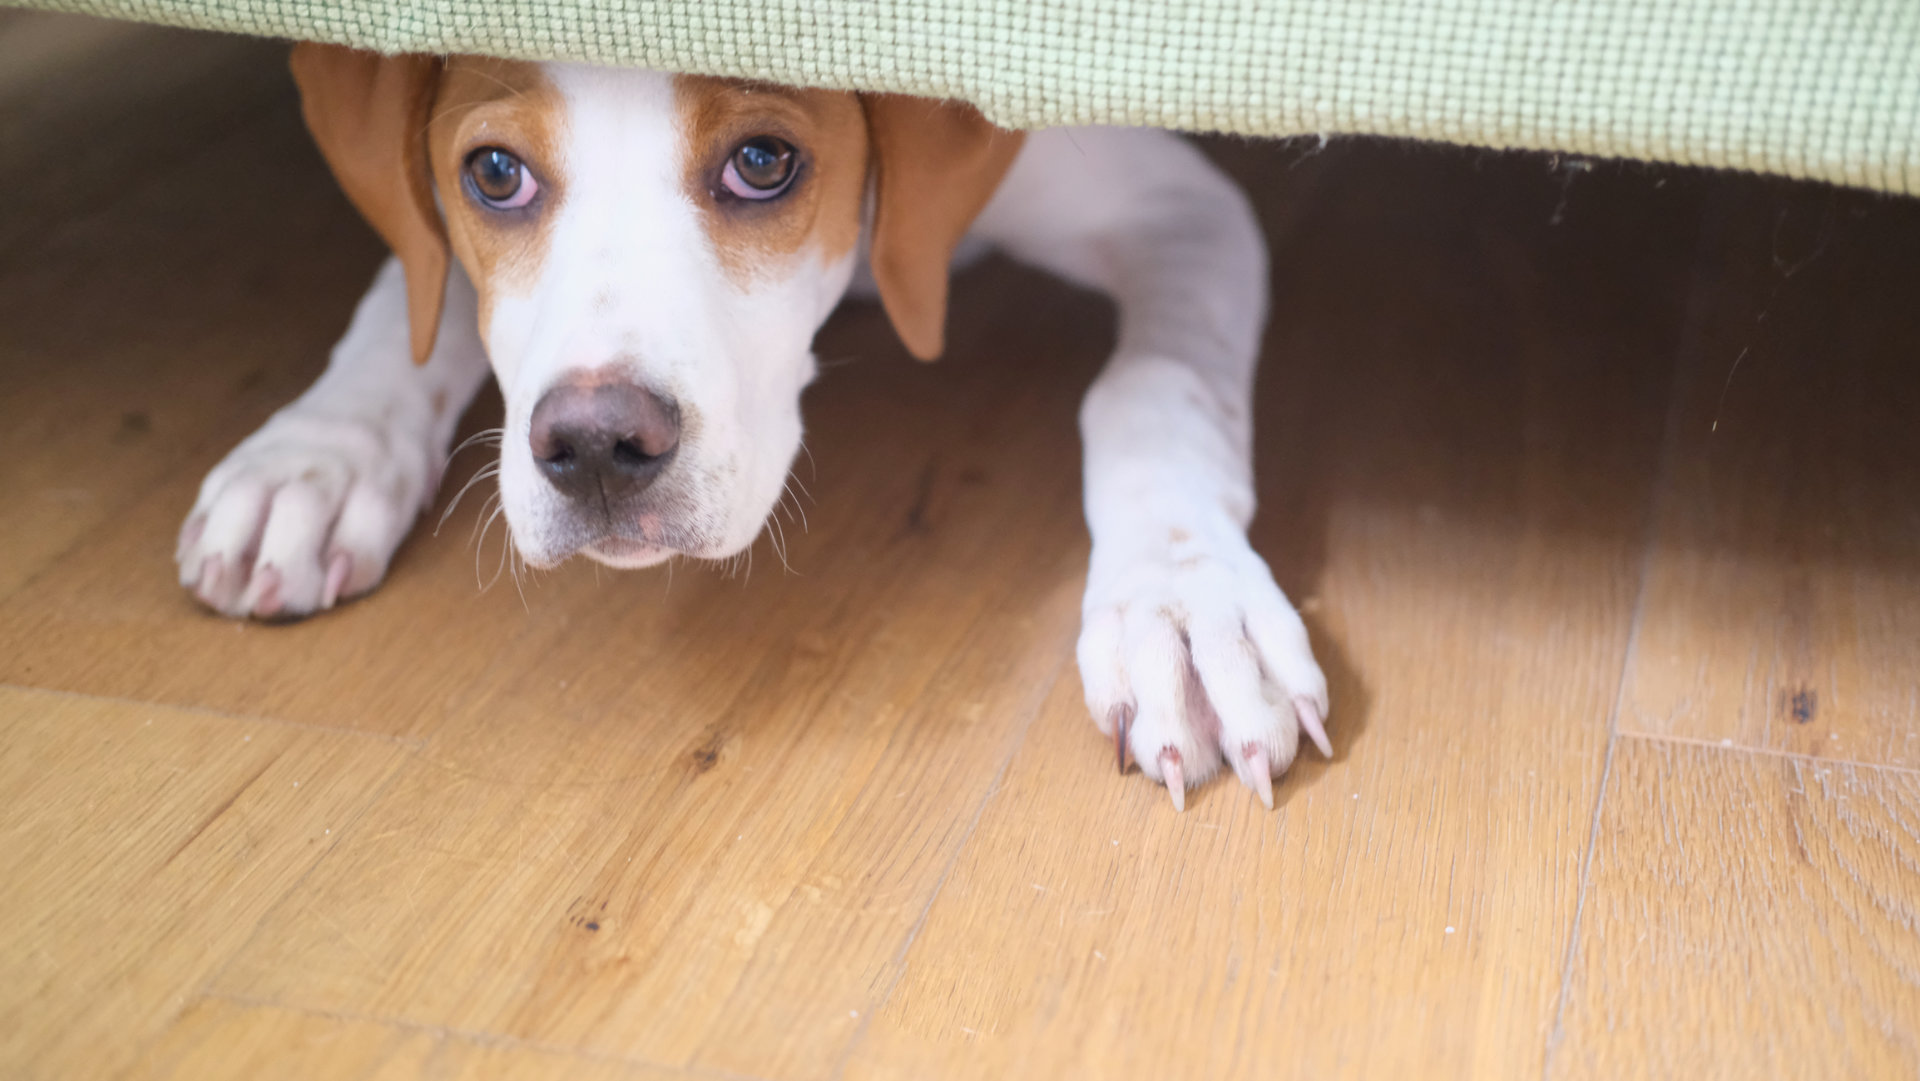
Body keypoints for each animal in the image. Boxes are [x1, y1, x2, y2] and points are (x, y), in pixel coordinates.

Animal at [176, 48, 1336, 814]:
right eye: (495, 175)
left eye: (765, 161)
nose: (595, 448)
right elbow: (413, 294)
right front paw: (318, 452)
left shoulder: (1179, 208)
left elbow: (1151, 389)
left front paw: (1183, 602)